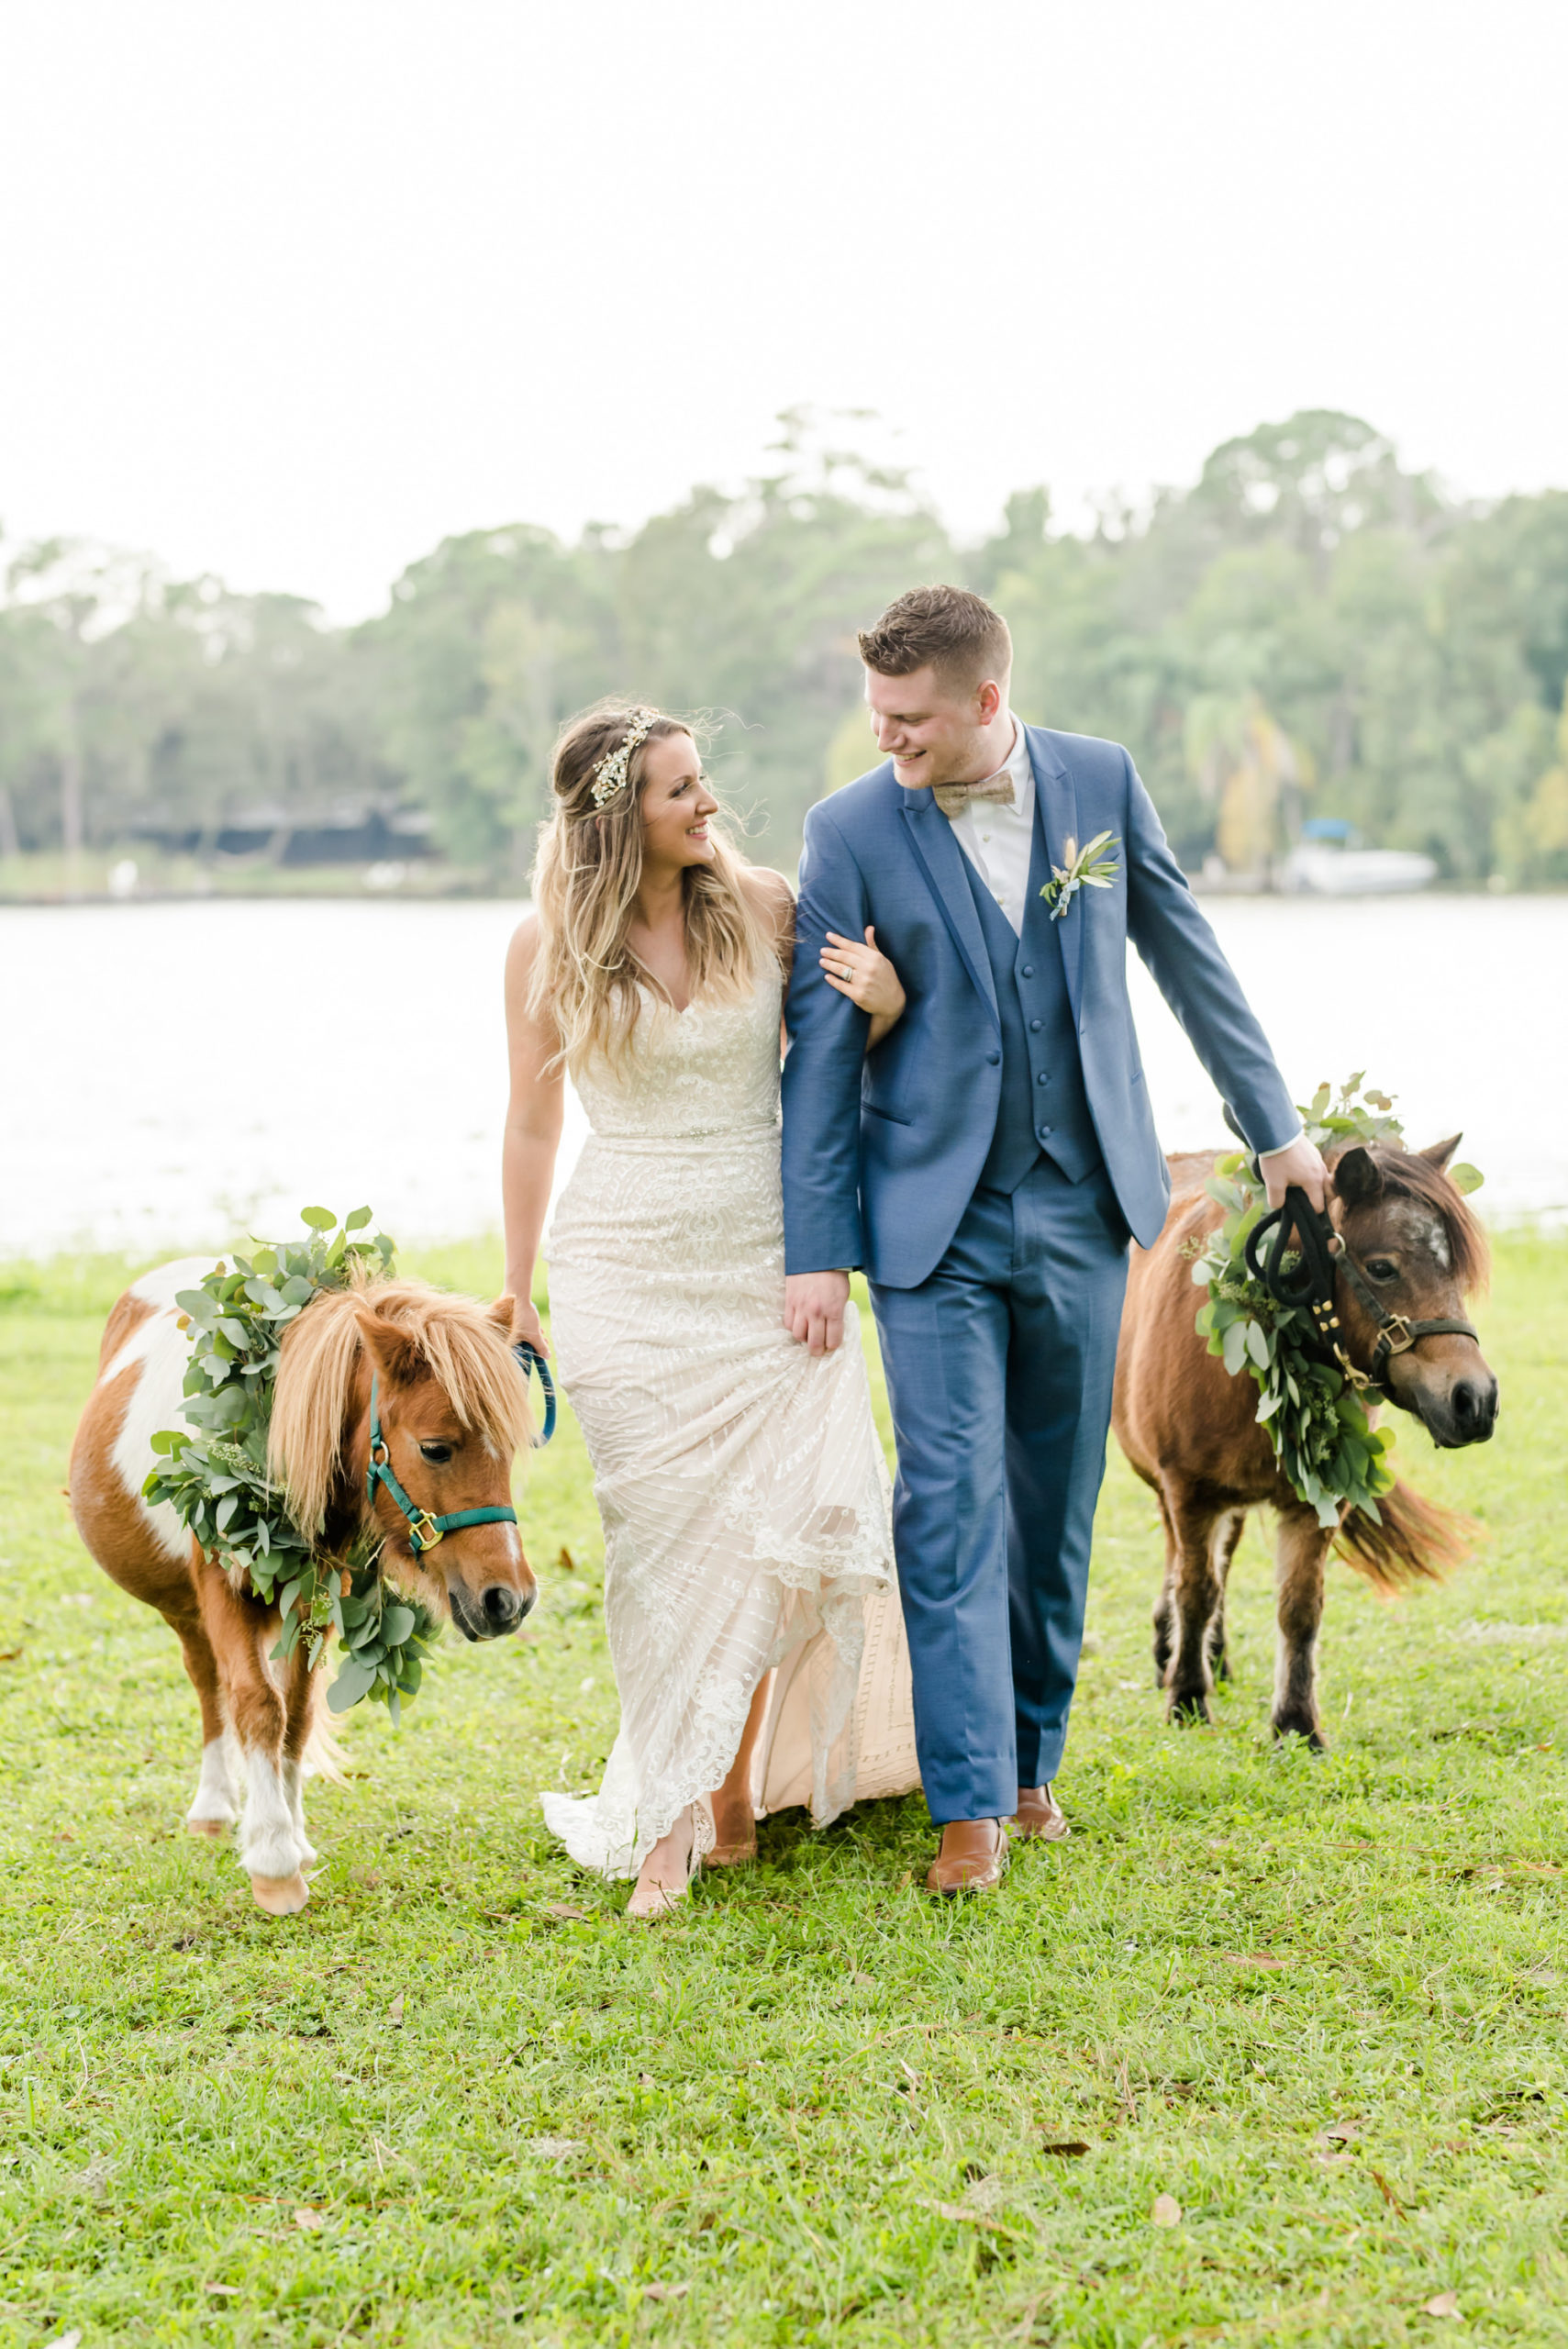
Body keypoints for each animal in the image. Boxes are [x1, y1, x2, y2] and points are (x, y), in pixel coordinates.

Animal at [69, 1268, 539, 1907]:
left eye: (510, 1450)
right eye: (435, 1449)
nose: (508, 1601)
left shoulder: (315, 1595)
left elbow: (295, 1715)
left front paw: (291, 1833)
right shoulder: (220, 1592)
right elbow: (257, 1705)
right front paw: (272, 1858)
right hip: (186, 1613)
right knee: (209, 1686)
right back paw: (214, 1806)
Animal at [1112, 1137, 1493, 1747]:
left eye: (1453, 1269)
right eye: (1382, 1268)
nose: (1475, 1399)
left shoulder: (1316, 1502)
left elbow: (1299, 1608)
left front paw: (1296, 1723)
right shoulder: (1188, 1490)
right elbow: (1196, 1591)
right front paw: (1186, 1697)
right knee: (1185, 1563)